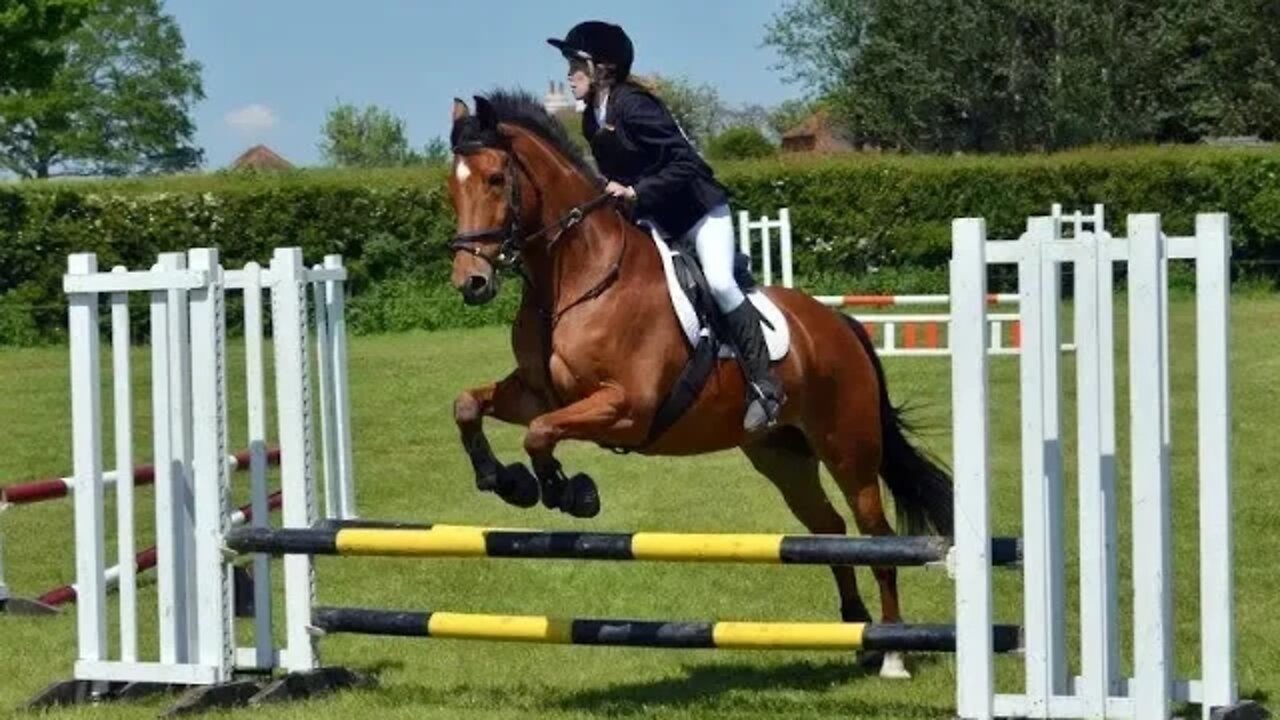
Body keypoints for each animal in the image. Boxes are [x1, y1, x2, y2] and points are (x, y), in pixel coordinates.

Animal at [444, 89, 954, 679]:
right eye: (450, 186)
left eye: (496, 179)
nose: (471, 282)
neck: (575, 277)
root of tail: (839, 324)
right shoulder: (535, 393)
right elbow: (469, 406)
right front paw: (505, 481)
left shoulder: (627, 407)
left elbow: (541, 433)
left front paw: (568, 491)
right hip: (782, 455)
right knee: (829, 529)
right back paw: (857, 630)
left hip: (849, 450)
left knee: (878, 539)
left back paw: (892, 651)